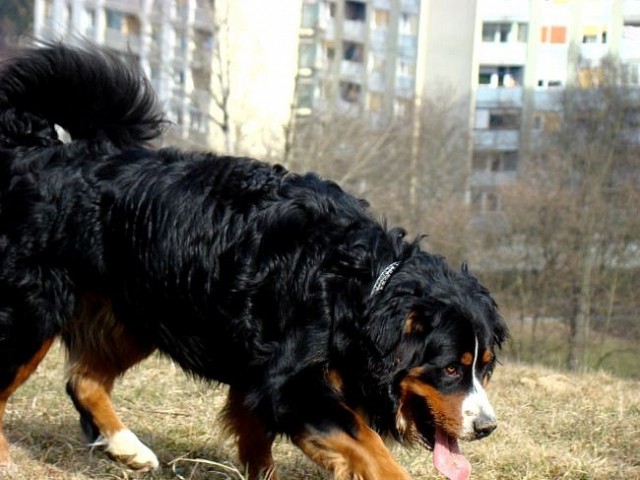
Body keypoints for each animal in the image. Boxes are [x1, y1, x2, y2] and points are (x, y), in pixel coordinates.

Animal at [1, 43, 510, 478]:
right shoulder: (290, 383)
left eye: (482, 367)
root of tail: (41, 149)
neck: (358, 289)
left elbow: (256, 440)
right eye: (450, 368)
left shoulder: (257, 378)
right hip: (33, 309)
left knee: (84, 380)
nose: (486, 427)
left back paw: (129, 447)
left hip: (135, 310)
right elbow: (367, 444)